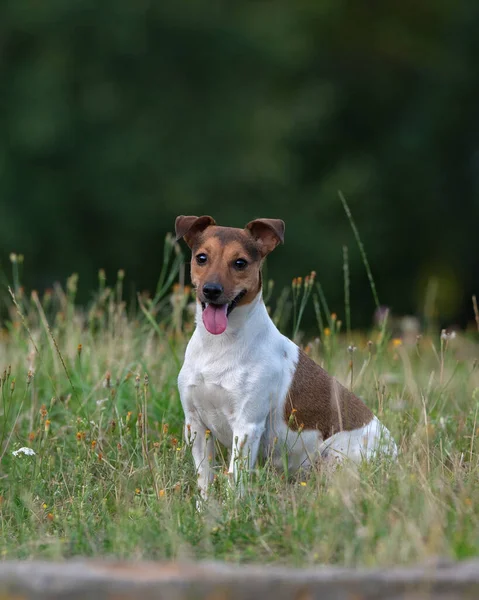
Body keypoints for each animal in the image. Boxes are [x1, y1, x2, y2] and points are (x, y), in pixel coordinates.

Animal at [175, 214, 398, 496]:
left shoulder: (246, 426)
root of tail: (396, 454)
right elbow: (204, 480)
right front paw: (206, 507)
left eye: (240, 263)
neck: (219, 346)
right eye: (202, 257)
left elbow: (235, 481)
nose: (211, 290)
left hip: (334, 460)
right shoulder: (195, 424)